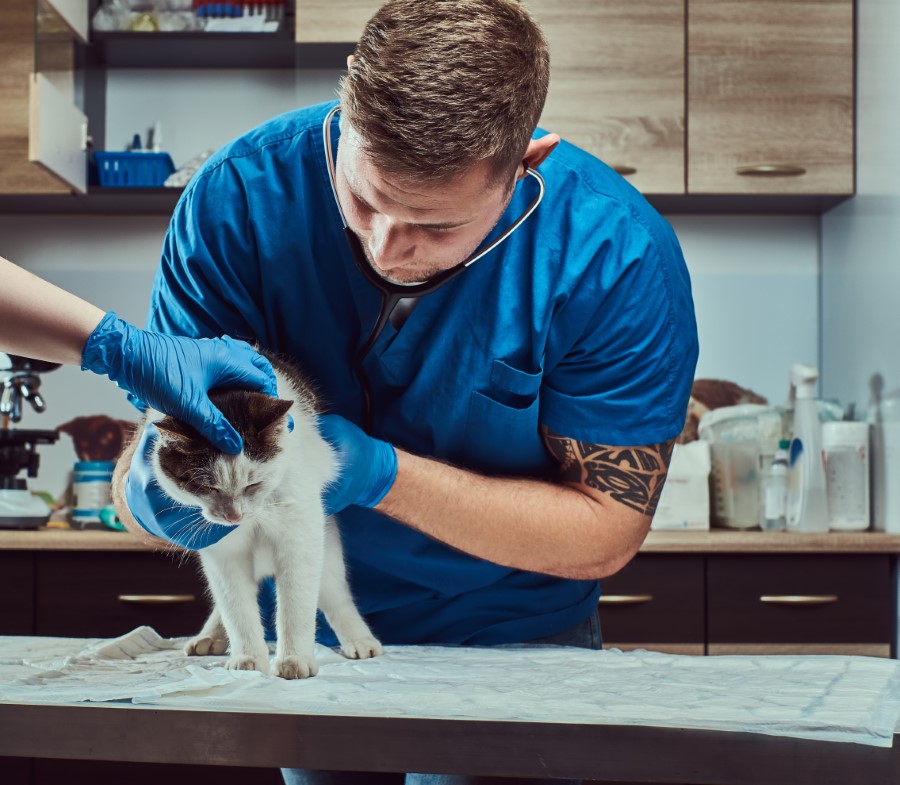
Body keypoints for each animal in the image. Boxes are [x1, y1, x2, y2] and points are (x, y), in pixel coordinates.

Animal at [110, 352, 382, 676]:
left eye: (253, 483)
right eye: (207, 486)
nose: (233, 517)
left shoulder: (299, 530)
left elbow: (296, 604)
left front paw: (294, 659)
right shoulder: (224, 550)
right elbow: (236, 607)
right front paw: (248, 658)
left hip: (325, 550)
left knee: (335, 595)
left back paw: (360, 639)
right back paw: (210, 636)